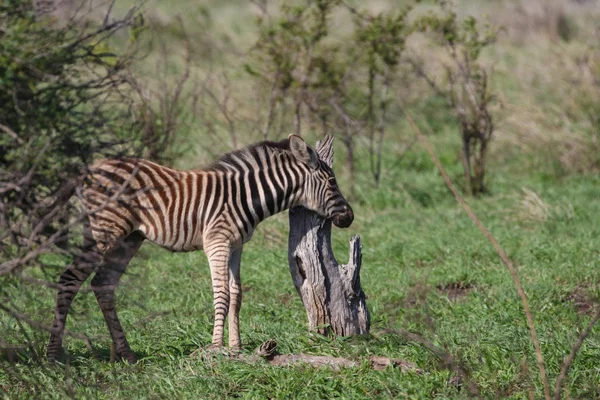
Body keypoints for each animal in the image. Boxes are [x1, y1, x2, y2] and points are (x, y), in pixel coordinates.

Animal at [48, 134, 356, 362]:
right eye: (332, 182)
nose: (350, 217)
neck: (246, 197)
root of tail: (87, 170)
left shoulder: (236, 246)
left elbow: (236, 294)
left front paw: (235, 347)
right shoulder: (217, 242)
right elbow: (221, 294)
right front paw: (216, 348)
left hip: (128, 238)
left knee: (102, 284)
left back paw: (126, 354)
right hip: (104, 231)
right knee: (70, 279)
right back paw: (54, 355)